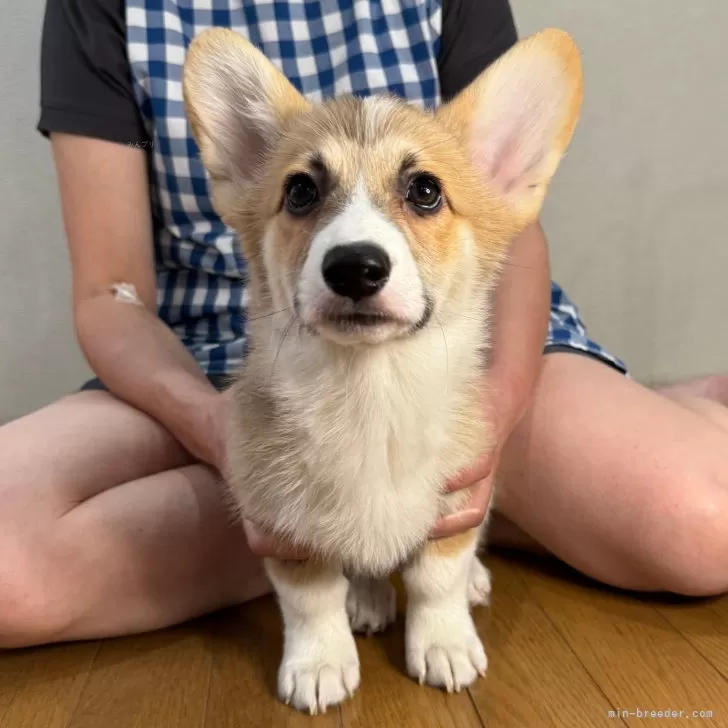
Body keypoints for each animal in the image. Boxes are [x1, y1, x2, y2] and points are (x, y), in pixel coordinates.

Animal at [181, 25, 580, 712]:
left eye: (425, 190)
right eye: (301, 191)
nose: (355, 267)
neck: (370, 388)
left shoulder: (457, 497)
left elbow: (435, 578)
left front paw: (445, 643)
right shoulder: (279, 518)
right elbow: (311, 597)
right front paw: (319, 663)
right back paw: (366, 600)